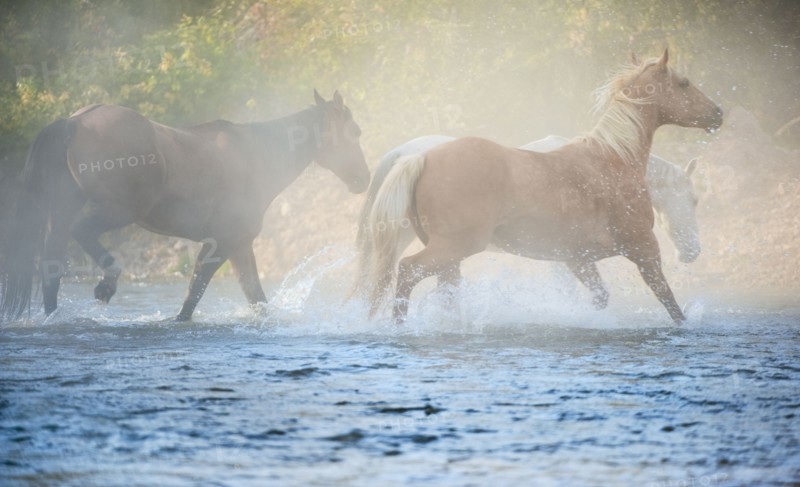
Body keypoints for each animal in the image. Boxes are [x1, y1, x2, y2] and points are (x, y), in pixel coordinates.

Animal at [1, 90, 370, 322]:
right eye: (355, 131)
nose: (363, 179)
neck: (255, 157)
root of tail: (74, 122)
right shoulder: (220, 243)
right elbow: (194, 295)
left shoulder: (240, 246)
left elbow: (255, 297)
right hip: (119, 210)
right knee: (82, 233)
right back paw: (107, 284)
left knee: (51, 266)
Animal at [358, 50, 722, 324]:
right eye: (684, 83)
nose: (717, 114)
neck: (613, 158)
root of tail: (420, 157)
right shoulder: (644, 249)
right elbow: (669, 302)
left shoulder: (577, 258)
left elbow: (600, 297)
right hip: (450, 248)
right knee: (407, 272)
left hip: (450, 256)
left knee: (441, 293)